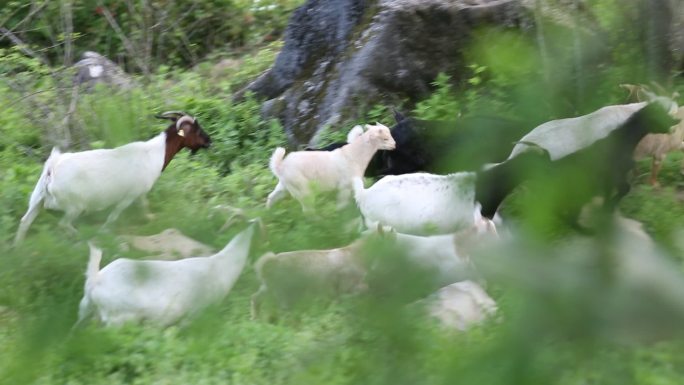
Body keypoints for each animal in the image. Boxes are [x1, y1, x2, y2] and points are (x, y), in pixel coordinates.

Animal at [14, 111, 211, 243]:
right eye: (196, 130)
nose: (209, 141)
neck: (156, 152)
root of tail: (52, 167)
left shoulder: (139, 194)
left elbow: (144, 206)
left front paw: (150, 218)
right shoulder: (129, 196)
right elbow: (114, 216)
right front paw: (103, 232)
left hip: (37, 199)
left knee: (25, 221)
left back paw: (18, 249)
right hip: (73, 206)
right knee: (63, 224)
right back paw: (81, 237)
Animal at [268, 123, 396, 212]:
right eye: (385, 138)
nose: (394, 145)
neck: (353, 154)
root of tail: (280, 166)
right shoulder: (344, 185)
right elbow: (342, 203)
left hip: (285, 185)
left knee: (272, 196)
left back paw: (268, 212)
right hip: (302, 187)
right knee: (307, 209)